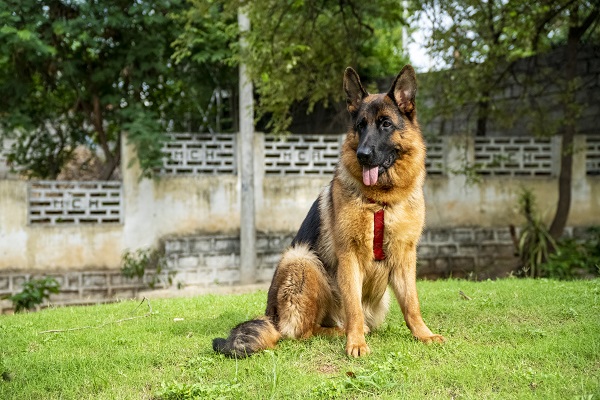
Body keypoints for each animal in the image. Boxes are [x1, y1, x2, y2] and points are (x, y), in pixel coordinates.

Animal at [214, 64, 446, 358]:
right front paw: (356, 342)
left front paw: (423, 334)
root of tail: (271, 316)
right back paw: (339, 331)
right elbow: (354, 307)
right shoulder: (349, 256)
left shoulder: (405, 255)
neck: (380, 200)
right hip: (302, 259)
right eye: (360, 126)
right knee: (304, 331)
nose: (362, 155)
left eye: (386, 124)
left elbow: (412, 304)